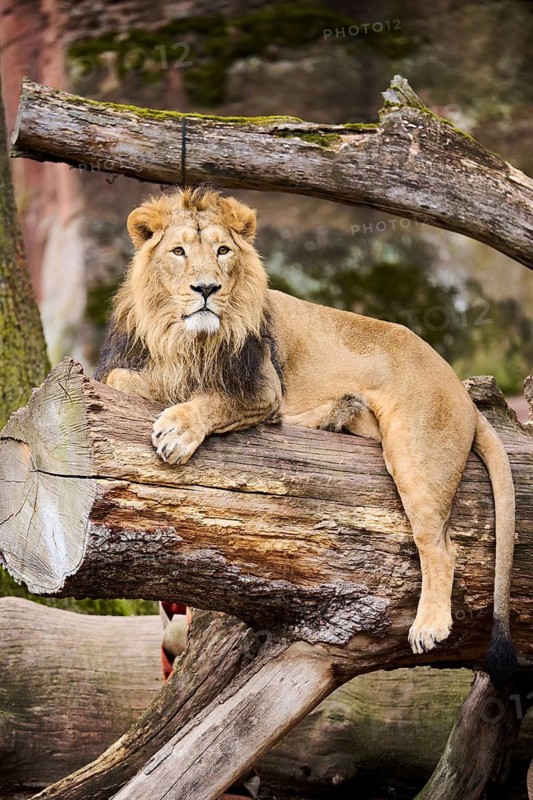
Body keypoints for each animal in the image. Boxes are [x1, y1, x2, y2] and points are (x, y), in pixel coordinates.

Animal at [95, 187, 517, 688]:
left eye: (223, 251)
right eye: (178, 251)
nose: (206, 290)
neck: (186, 339)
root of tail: (459, 388)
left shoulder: (260, 388)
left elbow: (207, 399)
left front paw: (177, 430)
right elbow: (125, 379)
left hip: (416, 454)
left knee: (441, 545)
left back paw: (429, 624)